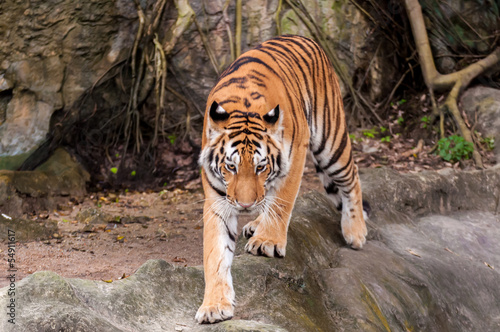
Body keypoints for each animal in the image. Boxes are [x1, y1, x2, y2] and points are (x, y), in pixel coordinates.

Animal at [195, 35, 368, 322]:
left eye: (260, 167)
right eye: (230, 167)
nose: (245, 206)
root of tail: (303, 37)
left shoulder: (296, 153)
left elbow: (282, 202)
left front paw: (267, 243)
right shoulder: (218, 198)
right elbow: (215, 254)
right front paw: (214, 305)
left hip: (331, 142)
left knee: (352, 178)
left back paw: (355, 232)